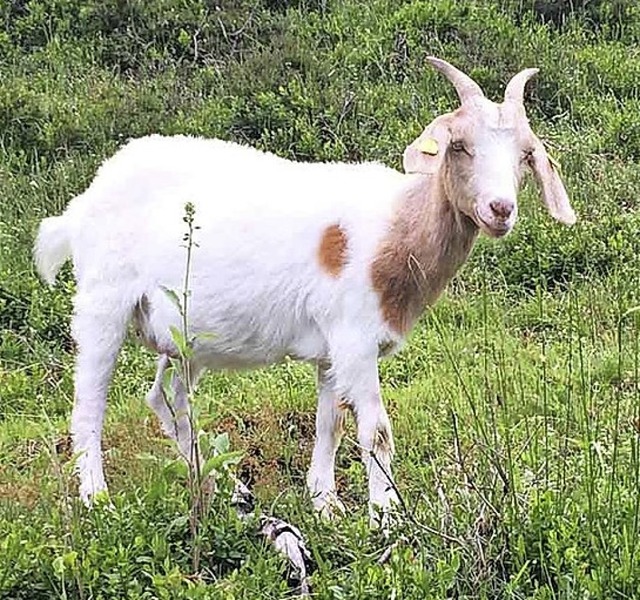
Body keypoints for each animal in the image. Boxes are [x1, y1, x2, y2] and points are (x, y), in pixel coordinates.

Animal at [33, 58, 576, 520]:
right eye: (459, 146)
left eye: (525, 156)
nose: (500, 209)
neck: (395, 229)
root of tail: (85, 201)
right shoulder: (355, 338)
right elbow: (376, 431)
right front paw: (387, 519)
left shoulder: (332, 348)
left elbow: (329, 423)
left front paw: (326, 504)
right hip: (103, 302)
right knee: (89, 402)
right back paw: (97, 497)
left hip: (182, 335)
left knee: (168, 399)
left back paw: (220, 487)